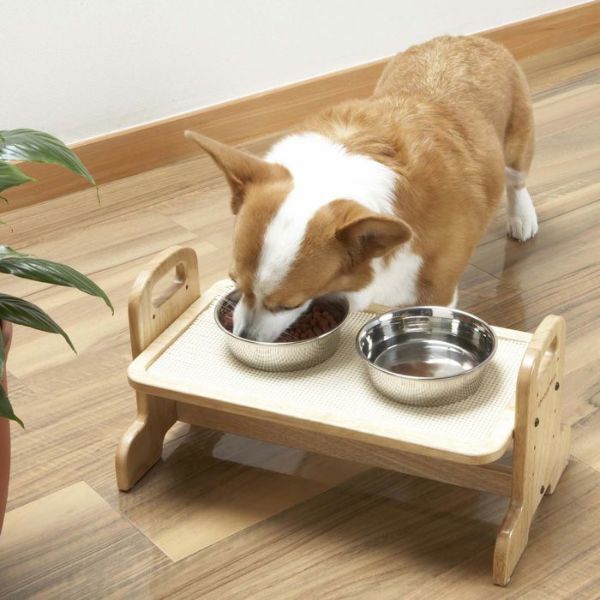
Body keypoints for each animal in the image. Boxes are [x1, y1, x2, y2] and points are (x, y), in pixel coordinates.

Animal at [186, 35, 536, 342]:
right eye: (234, 281)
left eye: (289, 304)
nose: (243, 336)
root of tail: (469, 39)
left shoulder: (438, 290)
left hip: (516, 146)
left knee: (516, 181)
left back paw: (522, 218)